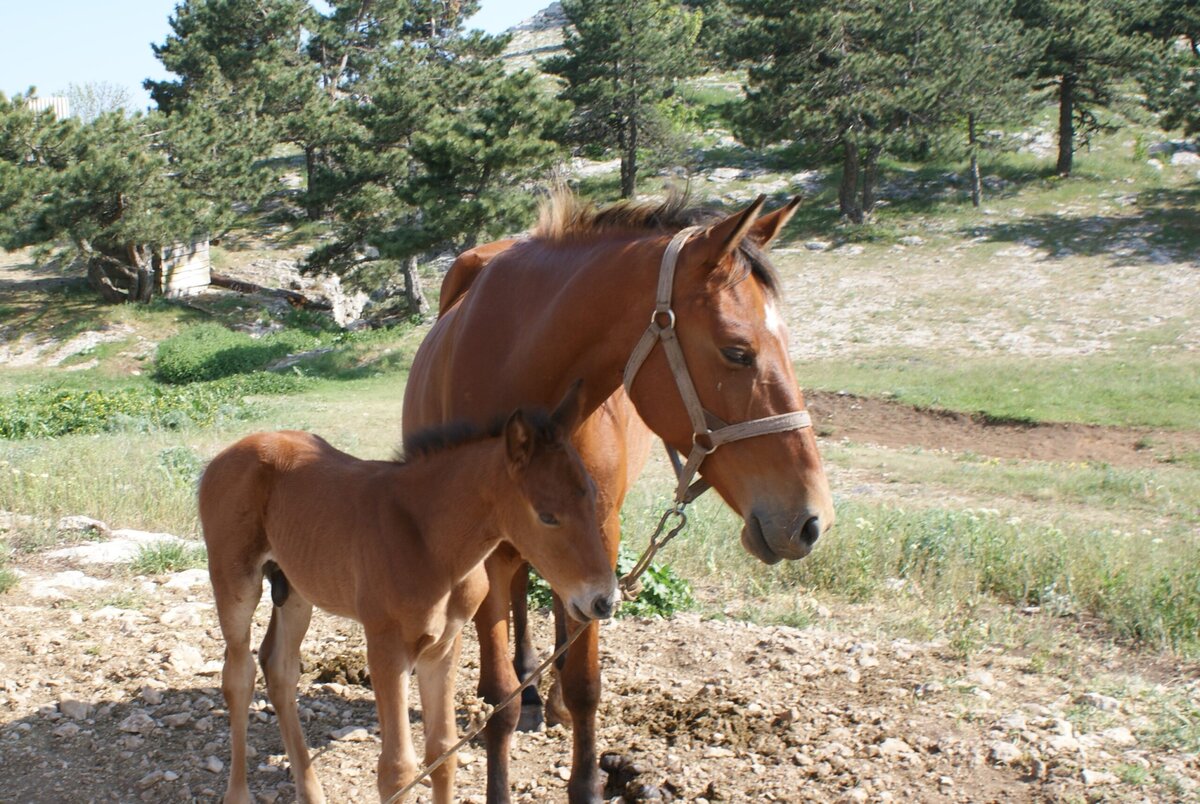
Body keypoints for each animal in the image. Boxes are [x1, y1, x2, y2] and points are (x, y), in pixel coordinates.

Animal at [200, 386, 614, 801]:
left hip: (296, 589)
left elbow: (443, 753)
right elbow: (396, 770)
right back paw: (238, 793)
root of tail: (225, 455)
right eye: (547, 516)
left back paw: (311, 791)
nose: (604, 599)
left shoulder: (442, 647)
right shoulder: (386, 648)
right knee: (238, 674)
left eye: (593, 495)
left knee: (280, 668)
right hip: (235, 581)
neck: (428, 538)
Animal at [403, 192, 835, 801]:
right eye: (737, 352)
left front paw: (585, 778)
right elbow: (499, 700)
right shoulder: (485, 546)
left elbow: (587, 680)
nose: (811, 519)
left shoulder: (599, 530)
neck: (512, 369)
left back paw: (550, 692)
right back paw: (527, 681)